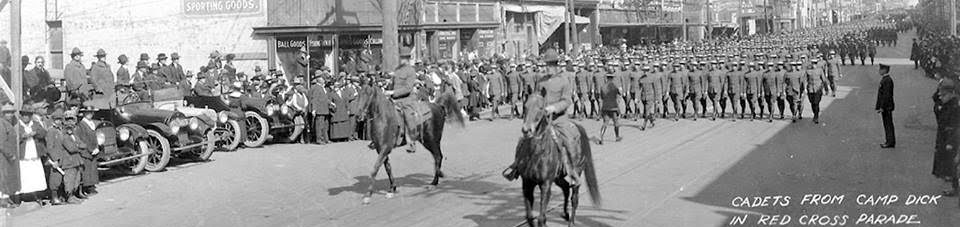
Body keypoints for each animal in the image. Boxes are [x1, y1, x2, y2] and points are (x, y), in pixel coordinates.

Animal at [516, 93, 600, 226]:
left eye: (541, 108)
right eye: (525, 106)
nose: (526, 130)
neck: (536, 154)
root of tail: (577, 126)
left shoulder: (546, 185)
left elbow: (541, 218)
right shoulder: (527, 185)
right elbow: (529, 217)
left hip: (576, 172)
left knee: (574, 198)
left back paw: (571, 221)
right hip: (558, 177)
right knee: (565, 188)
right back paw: (566, 214)